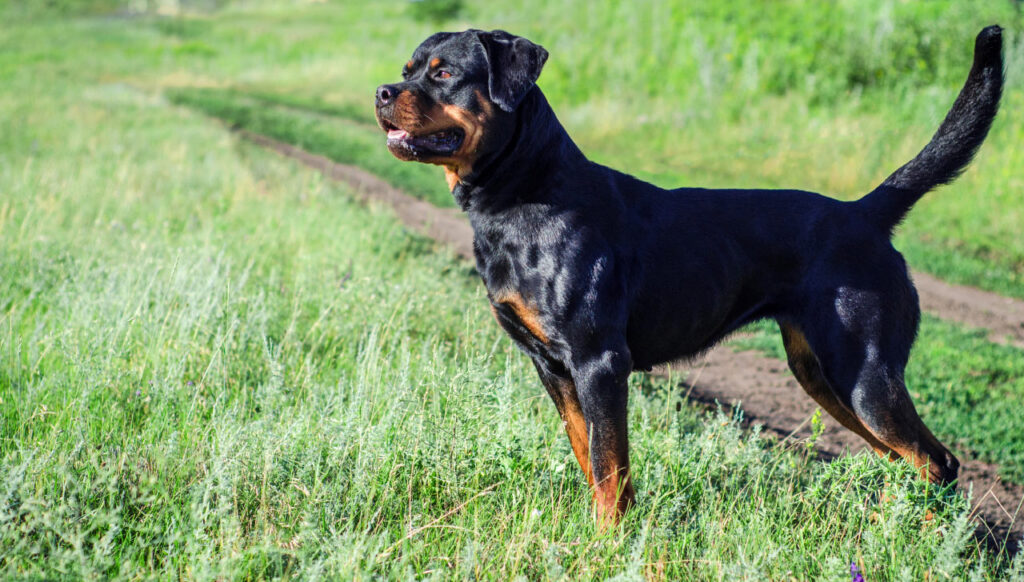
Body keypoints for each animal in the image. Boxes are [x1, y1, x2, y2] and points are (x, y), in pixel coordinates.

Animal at [372, 27, 1003, 522]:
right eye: (407, 72)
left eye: (444, 73)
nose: (381, 92)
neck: (523, 192)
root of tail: (865, 213)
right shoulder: (551, 366)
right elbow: (590, 458)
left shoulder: (600, 361)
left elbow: (611, 465)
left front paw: (610, 541)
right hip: (823, 375)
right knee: (904, 460)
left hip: (864, 372)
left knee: (939, 463)